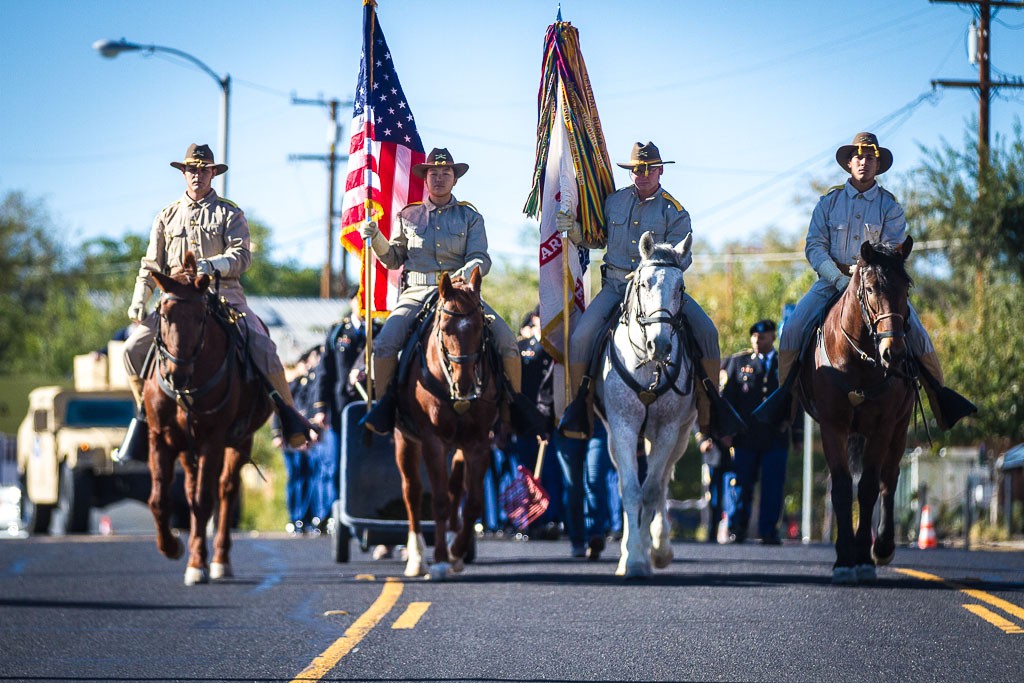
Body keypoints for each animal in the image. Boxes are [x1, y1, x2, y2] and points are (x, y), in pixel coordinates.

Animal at [146, 253, 272, 585]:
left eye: (202, 316)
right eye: (164, 314)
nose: (176, 373)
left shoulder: (212, 440)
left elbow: (205, 500)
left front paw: (196, 564)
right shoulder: (160, 437)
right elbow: (160, 500)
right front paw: (172, 547)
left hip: (241, 440)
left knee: (226, 490)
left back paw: (219, 559)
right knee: (193, 489)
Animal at [393, 266, 497, 581]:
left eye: (479, 327)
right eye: (446, 327)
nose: (465, 384)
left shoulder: (478, 443)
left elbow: (472, 502)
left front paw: (456, 552)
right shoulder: (433, 442)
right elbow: (437, 501)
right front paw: (438, 559)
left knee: (455, 490)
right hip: (405, 441)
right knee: (412, 492)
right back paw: (417, 558)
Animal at [598, 232, 700, 581]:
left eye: (680, 287)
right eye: (644, 283)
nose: (662, 345)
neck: (648, 367)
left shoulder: (668, 431)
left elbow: (653, 491)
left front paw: (647, 555)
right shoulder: (623, 428)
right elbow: (631, 490)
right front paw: (632, 560)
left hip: (679, 436)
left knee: (664, 480)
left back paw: (659, 547)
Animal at [794, 237, 917, 585]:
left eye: (906, 287)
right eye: (872, 288)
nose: (894, 353)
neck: (859, 357)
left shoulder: (884, 426)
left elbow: (868, 487)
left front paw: (863, 557)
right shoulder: (833, 426)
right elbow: (841, 488)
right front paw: (843, 560)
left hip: (900, 428)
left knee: (889, 478)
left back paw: (884, 546)